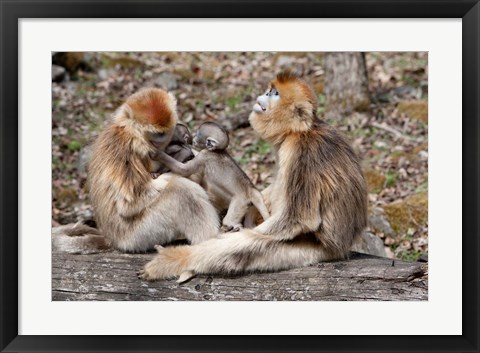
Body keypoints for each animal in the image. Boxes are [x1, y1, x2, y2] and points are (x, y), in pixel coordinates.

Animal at [87, 86, 218, 250]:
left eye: (164, 132)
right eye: (157, 133)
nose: (162, 139)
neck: (134, 134)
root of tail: (112, 240)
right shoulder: (124, 149)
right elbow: (129, 204)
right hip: (137, 236)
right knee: (182, 191)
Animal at [139, 71, 368, 280]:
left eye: (274, 94)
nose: (264, 94)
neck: (298, 132)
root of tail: (342, 247)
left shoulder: (302, 153)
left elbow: (299, 219)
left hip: (312, 248)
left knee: (250, 246)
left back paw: (179, 260)